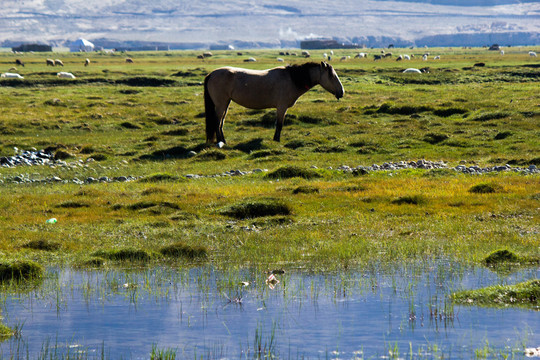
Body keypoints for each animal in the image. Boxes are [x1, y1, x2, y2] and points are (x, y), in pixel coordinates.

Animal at [202, 61, 342, 143]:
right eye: (331, 75)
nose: (341, 92)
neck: (292, 78)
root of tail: (211, 74)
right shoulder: (282, 107)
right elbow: (279, 124)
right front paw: (277, 140)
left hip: (225, 103)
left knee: (220, 122)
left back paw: (223, 140)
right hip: (221, 104)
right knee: (217, 122)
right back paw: (221, 142)